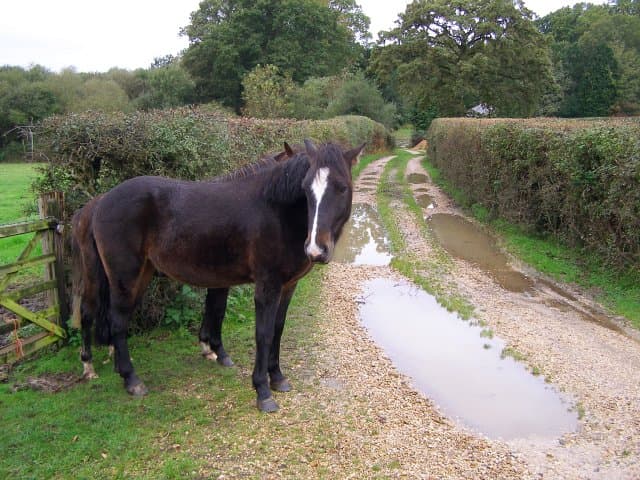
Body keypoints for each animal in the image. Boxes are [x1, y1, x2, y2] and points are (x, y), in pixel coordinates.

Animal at [71, 139, 365, 412]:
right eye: (306, 190)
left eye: (342, 188)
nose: (316, 249)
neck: (276, 210)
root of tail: (101, 201)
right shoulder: (267, 287)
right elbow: (263, 333)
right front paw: (262, 390)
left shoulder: (287, 286)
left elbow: (277, 329)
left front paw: (277, 378)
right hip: (124, 277)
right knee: (114, 320)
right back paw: (129, 379)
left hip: (139, 274)